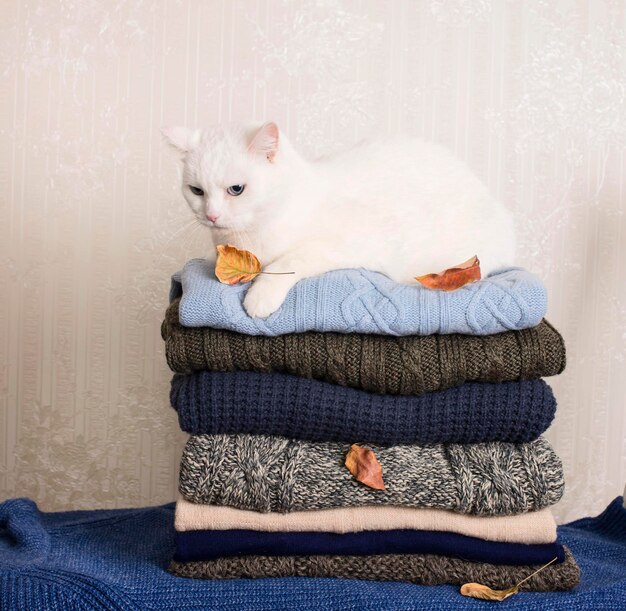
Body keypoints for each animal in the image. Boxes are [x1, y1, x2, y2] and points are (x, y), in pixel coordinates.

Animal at [163, 122, 516, 318]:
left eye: (236, 189)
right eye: (197, 191)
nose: (211, 215)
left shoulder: (349, 242)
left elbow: (289, 261)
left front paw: (260, 296)